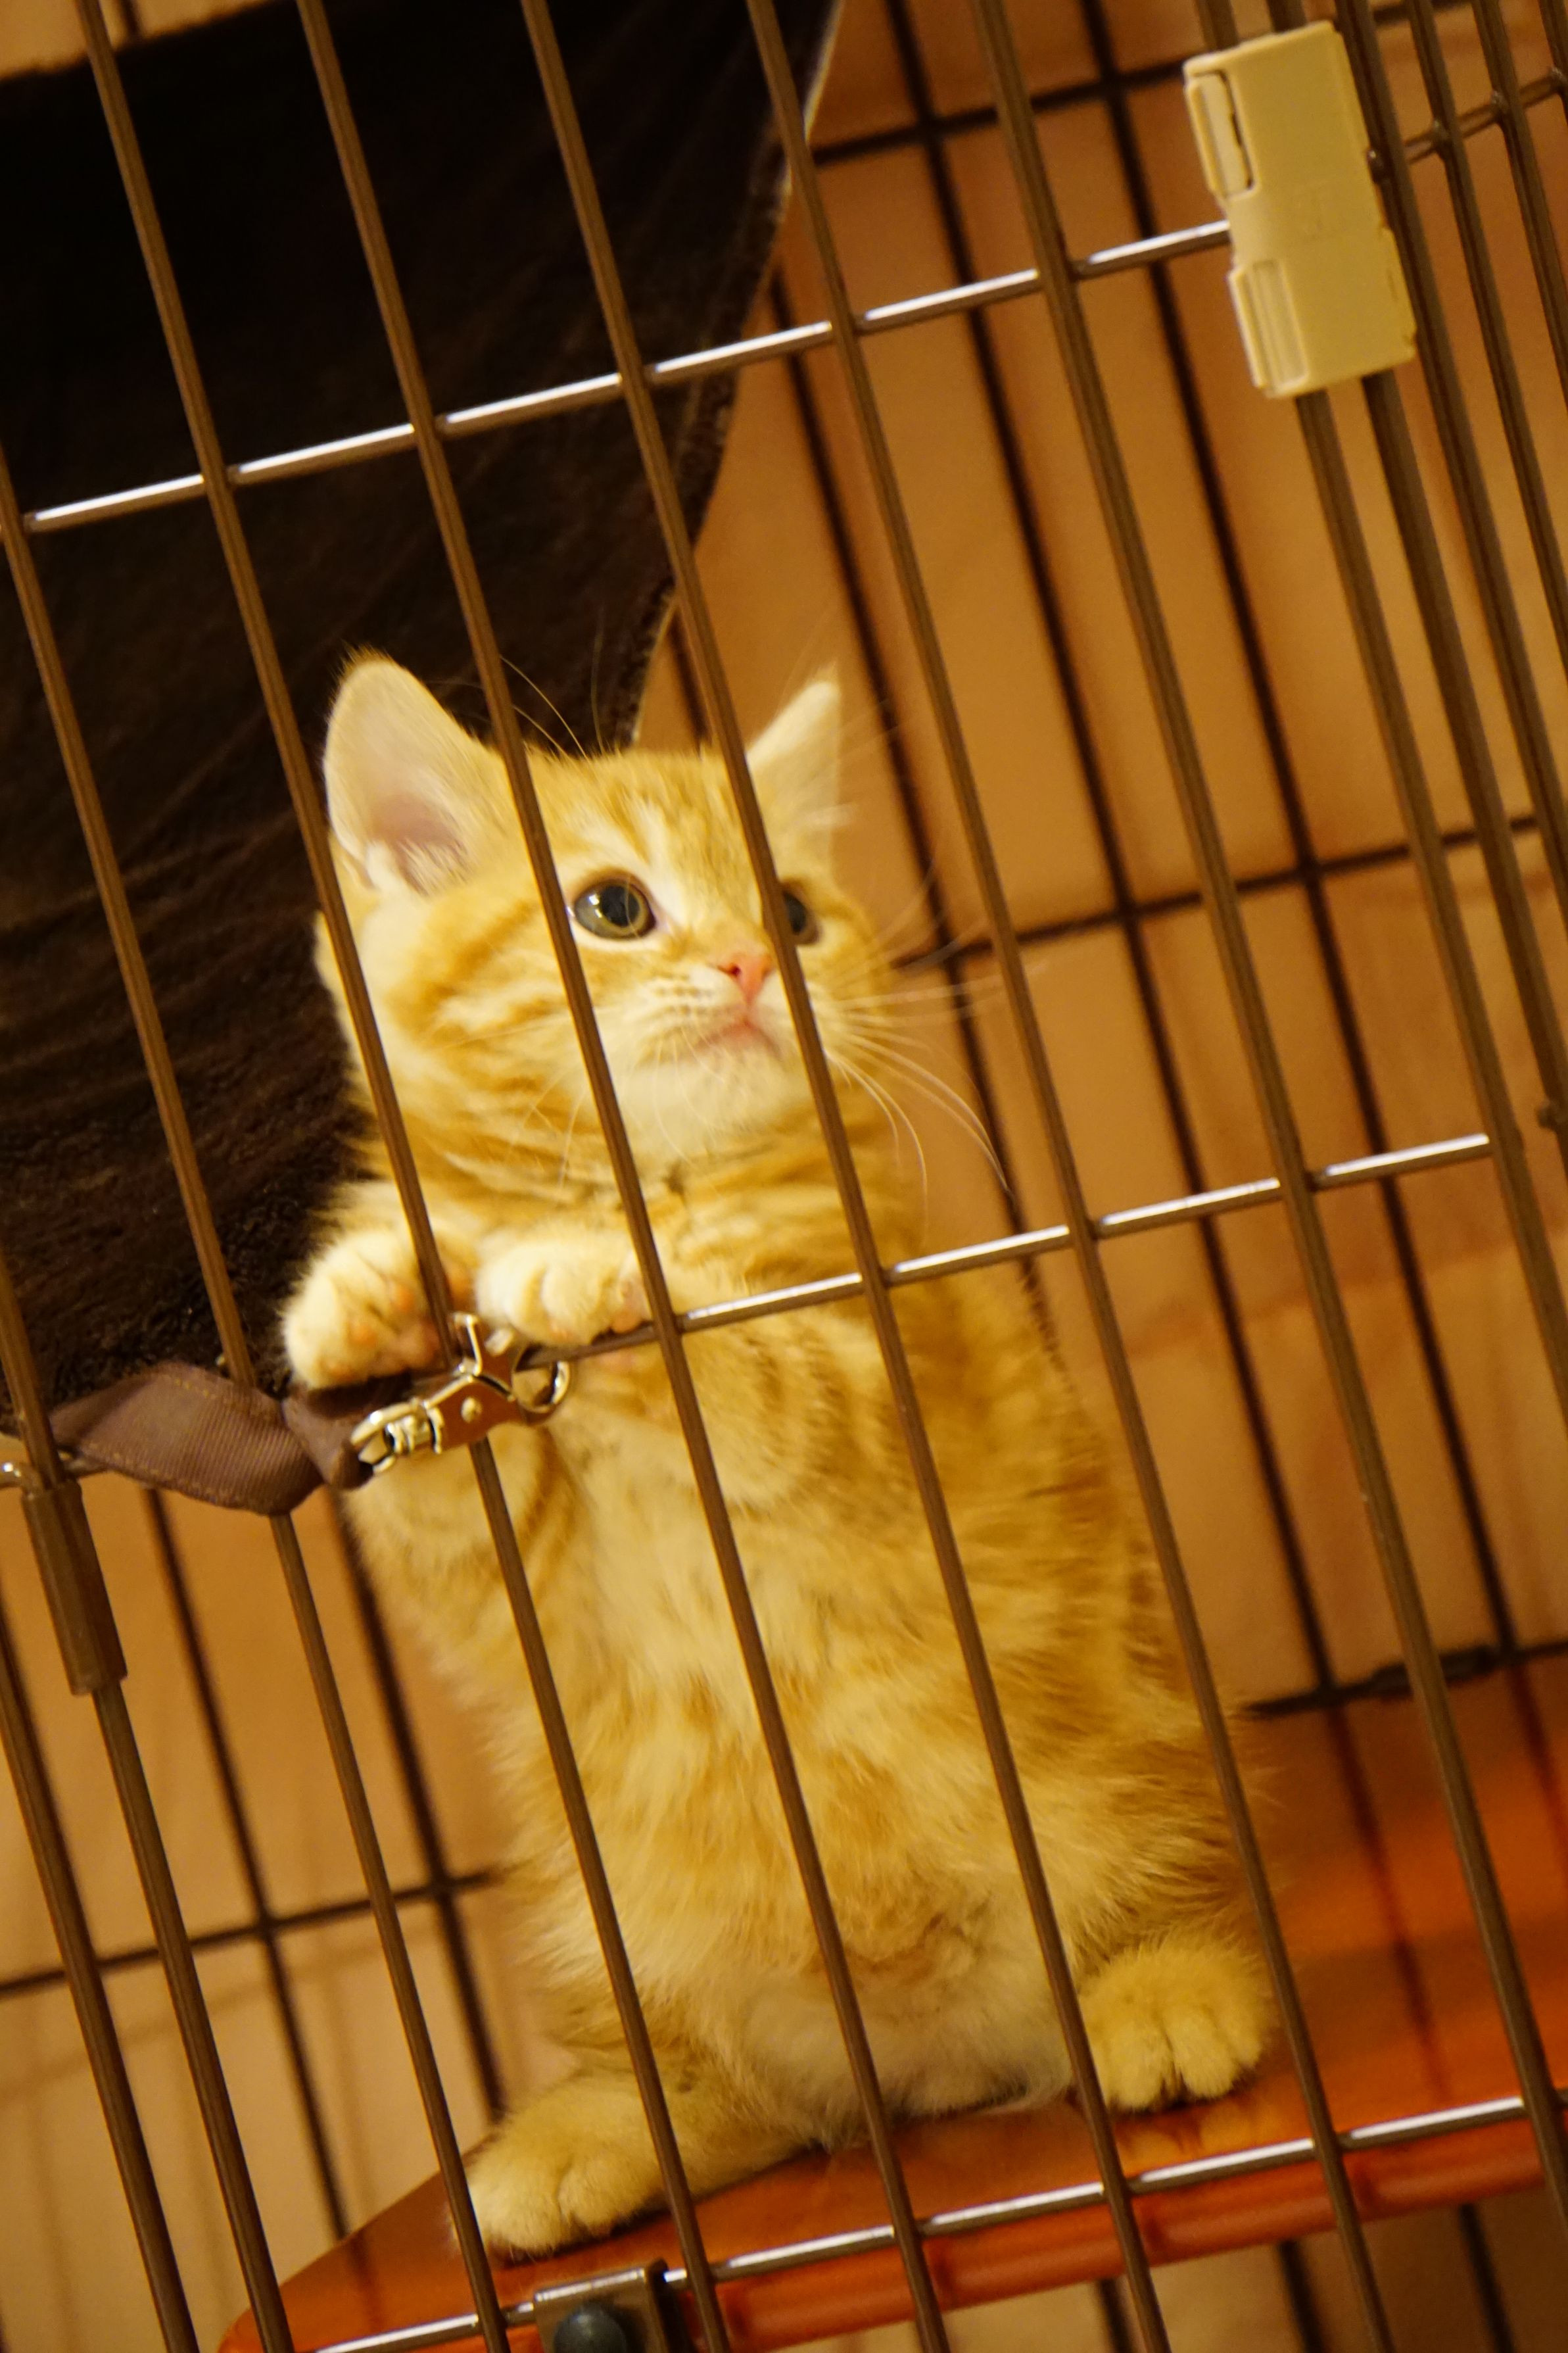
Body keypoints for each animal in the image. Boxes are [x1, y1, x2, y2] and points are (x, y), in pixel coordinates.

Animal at [282, 654, 1270, 2255]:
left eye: (798, 912)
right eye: (614, 906)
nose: (755, 963)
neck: (660, 1180)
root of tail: (929, 2063)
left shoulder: (893, 1396)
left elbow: (756, 1371)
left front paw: (593, 1273)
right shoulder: (501, 1585)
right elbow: (434, 1485)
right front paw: (367, 1293)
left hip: (1127, 1781)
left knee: (1173, 1896)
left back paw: (1171, 1994)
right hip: (614, 1922)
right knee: (729, 2093)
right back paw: (598, 2135)